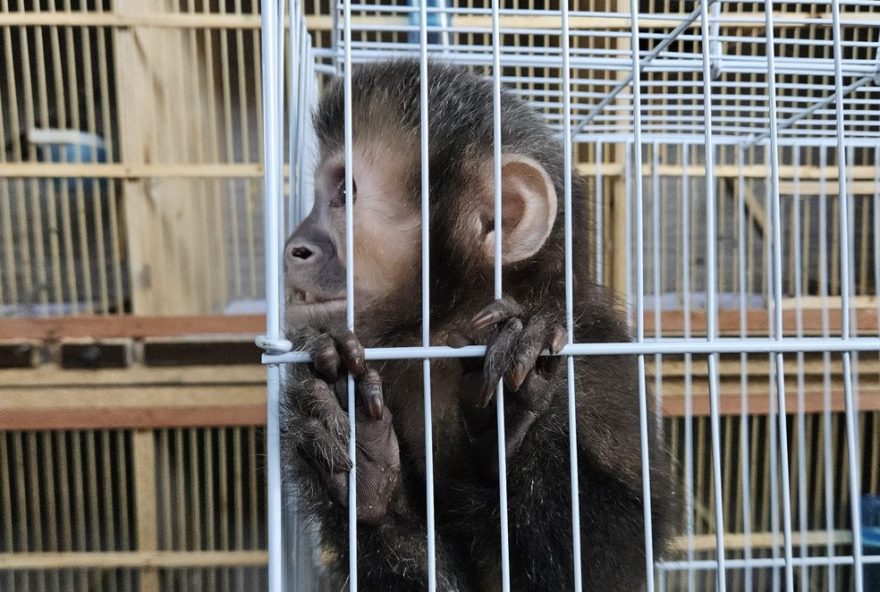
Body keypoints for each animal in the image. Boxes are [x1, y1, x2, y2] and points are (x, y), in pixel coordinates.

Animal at [281, 59, 675, 591]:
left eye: (344, 193)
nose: (294, 246)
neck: (447, 326)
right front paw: (364, 461)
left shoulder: (593, 353)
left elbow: (608, 563)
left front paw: (514, 410)